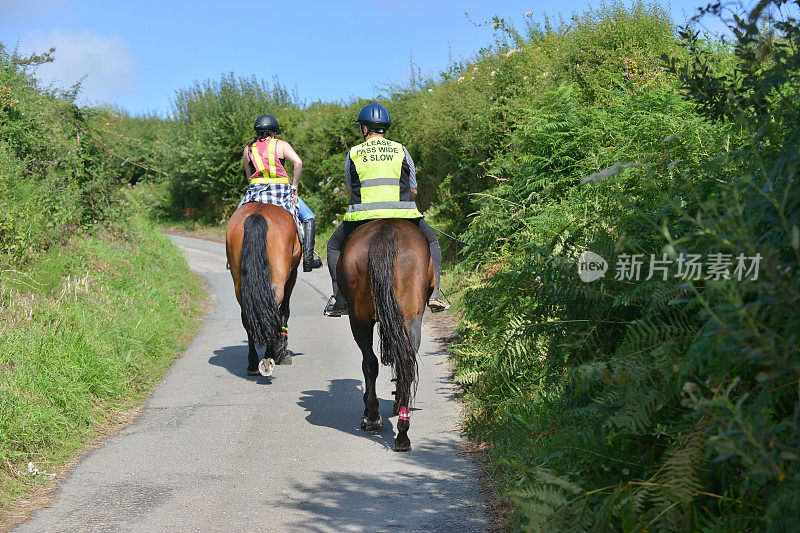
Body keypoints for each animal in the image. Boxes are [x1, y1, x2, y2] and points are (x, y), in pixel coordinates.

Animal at [227, 202, 302, 376]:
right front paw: (282, 351)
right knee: (272, 309)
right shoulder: (292, 274)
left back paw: (253, 363)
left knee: (248, 314)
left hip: (239, 282)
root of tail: (258, 214)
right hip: (280, 278)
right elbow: (284, 311)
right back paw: (270, 356)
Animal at [340, 218, 434, 450]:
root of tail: (386, 228)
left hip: (359, 319)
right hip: (409, 317)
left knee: (371, 362)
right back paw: (402, 430)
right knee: (404, 363)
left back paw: (374, 416)